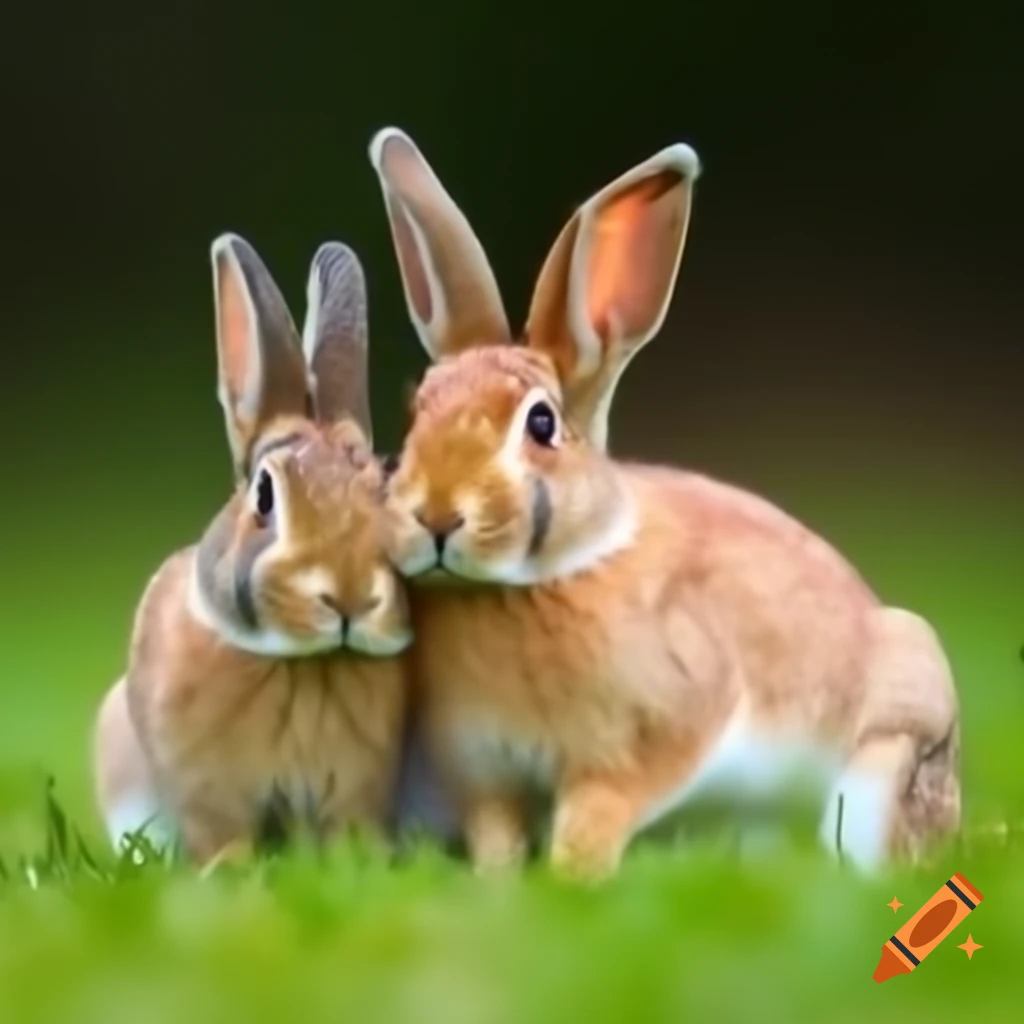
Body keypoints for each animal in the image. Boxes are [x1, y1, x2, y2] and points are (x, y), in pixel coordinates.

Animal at [91, 234, 412, 865]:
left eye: (385, 489)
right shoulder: (206, 794)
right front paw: (227, 870)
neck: (301, 663)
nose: (349, 597)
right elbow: (221, 838)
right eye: (264, 493)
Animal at [365, 126, 962, 881]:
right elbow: (498, 836)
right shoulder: (484, 772)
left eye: (541, 424)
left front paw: (572, 879)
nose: (438, 517)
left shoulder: (648, 740)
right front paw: (498, 886)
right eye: (417, 411)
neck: (540, 578)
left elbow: (594, 817)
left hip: (885, 762)